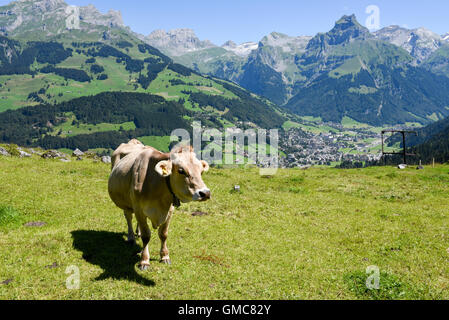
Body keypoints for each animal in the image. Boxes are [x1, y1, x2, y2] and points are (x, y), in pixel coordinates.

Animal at [108, 142, 210, 270]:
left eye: (201, 171)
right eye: (181, 170)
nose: (205, 193)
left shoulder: (169, 210)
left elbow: (163, 234)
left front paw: (165, 256)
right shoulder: (139, 209)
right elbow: (146, 236)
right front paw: (144, 261)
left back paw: (138, 232)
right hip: (127, 203)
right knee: (128, 217)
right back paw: (131, 237)